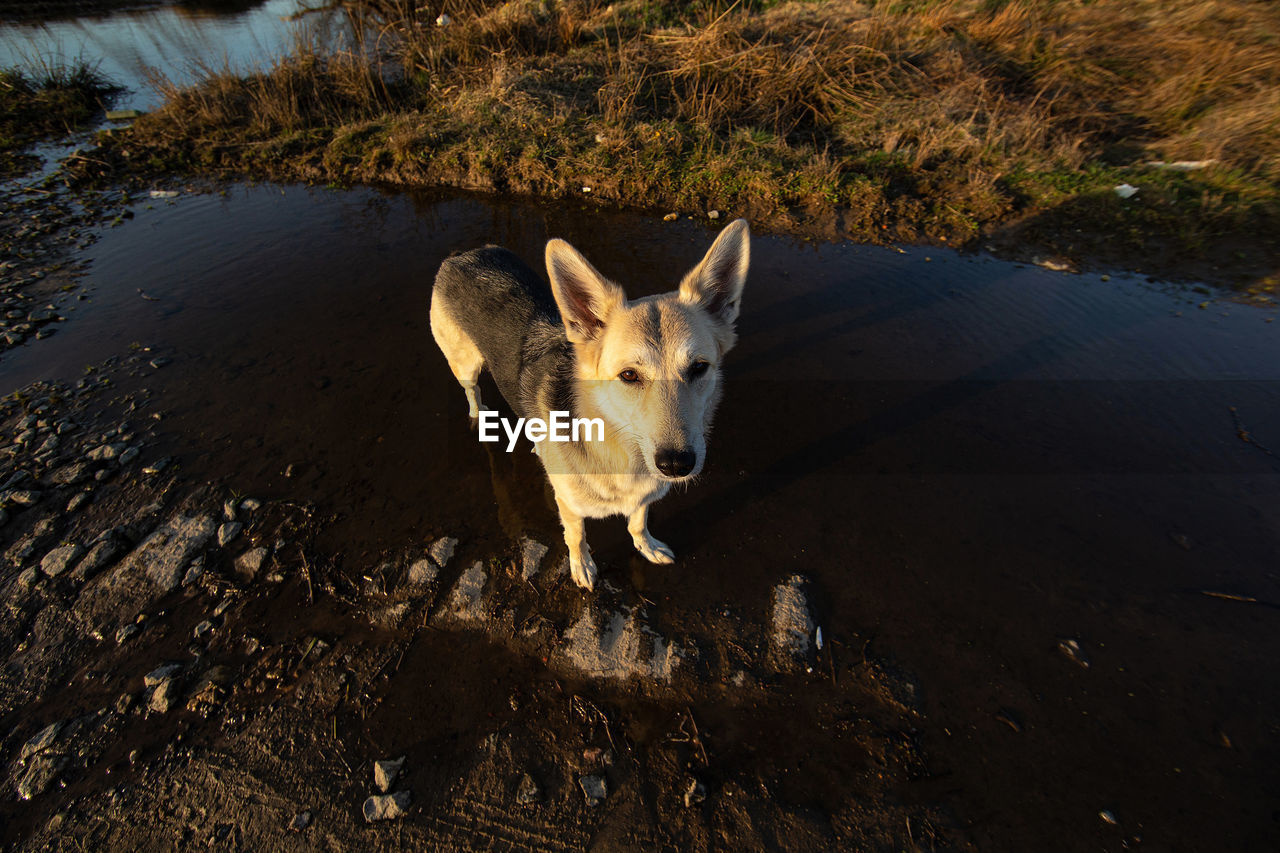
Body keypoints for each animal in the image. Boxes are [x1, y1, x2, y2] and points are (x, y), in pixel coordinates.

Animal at [430, 217, 747, 584]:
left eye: (698, 368)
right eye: (629, 375)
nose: (676, 464)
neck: (618, 448)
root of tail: (463, 254)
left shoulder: (643, 497)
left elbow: (638, 522)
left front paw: (646, 545)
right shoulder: (569, 506)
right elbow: (576, 536)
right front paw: (581, 565)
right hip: (465, 365)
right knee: (471, 389)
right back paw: (479, 413)